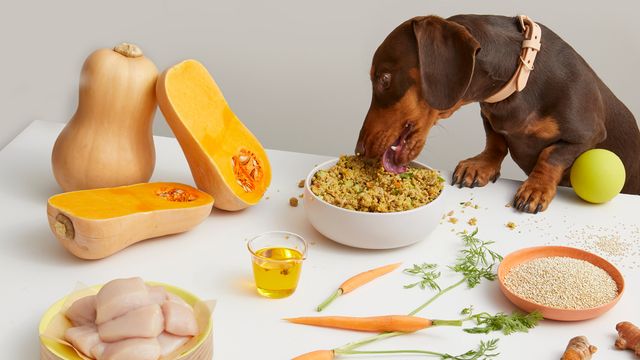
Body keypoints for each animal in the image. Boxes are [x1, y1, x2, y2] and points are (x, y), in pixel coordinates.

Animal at [356, 14, 640, 211]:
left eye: (384, 78)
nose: (359, 151)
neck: (520, 79)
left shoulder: (588, 135)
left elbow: (551, 155)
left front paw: (536, 188)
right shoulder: (489, 117)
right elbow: (495, 142)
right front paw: (479, 166)